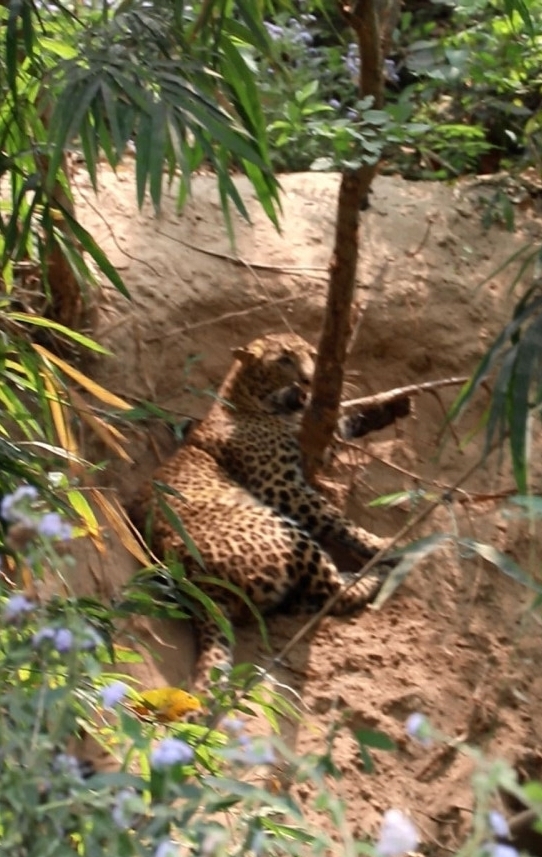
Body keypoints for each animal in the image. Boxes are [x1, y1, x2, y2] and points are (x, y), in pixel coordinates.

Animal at [130, 332, 394, 687]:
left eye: (312, 355)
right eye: (284, 360)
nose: (308, 380)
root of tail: (198, 587)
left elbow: (339, 430)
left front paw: (383, 411)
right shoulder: (282, 487)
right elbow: (334, 518)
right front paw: (378, 544)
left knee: (308, 600)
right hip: (284, 530)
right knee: (332, 594)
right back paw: (376, 571)